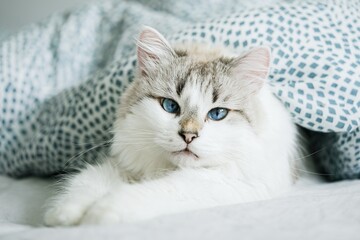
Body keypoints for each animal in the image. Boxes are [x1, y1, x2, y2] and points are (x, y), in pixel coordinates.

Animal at [43, 26, 302, 227]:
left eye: (217, 114)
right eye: (170, 106)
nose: (188, 135)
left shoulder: (230, 183)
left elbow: (149, 192)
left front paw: (99, 214)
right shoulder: (124, 165)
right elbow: (86, 182)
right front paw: (63, 215)